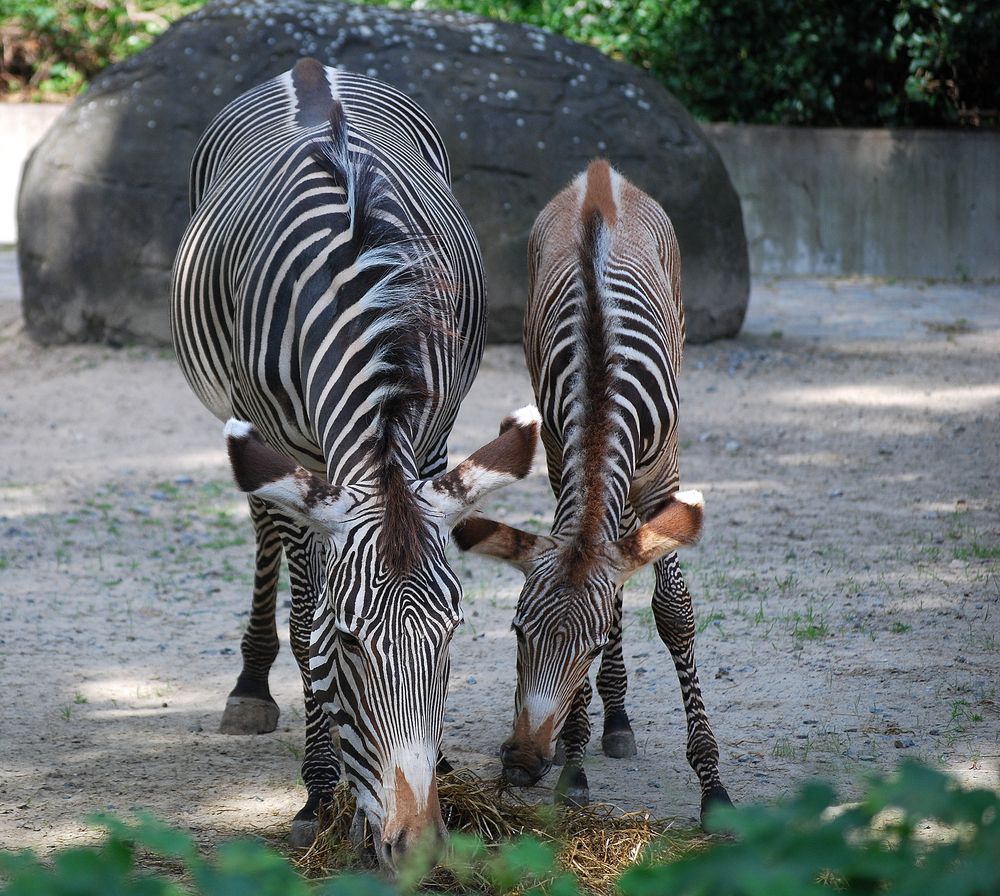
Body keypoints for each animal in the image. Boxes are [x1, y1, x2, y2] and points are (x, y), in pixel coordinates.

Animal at [172, 57, 540, 868]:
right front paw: (318, 794)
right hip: (255, 440)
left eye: (452, 635)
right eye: (349, 643)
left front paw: (442, 769)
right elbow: (306, 621)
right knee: (268, 541)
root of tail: (310, 67)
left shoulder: (432, 436)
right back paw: (251, 688)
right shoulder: (299, 457)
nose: (418, 846)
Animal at [458, 163, 732, 824]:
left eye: (585, 650)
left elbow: (673, 613)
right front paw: (574, 764)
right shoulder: (561, 457)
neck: (604, 386)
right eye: (517, 633)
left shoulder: (664, 478)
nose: (521, 765)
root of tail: (599, 175)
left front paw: (712, 785)